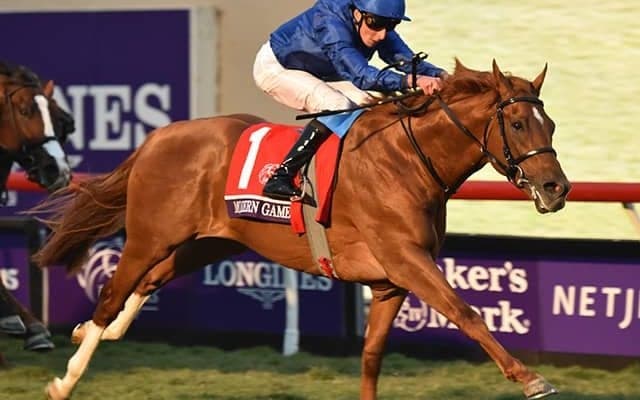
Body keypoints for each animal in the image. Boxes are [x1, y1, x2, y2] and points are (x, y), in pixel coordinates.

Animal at [34, 59, 570, 400]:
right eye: (518, 124)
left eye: (551, 125)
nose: (557, 188)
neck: (406, 160)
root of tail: (156, 138)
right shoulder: (405, 259)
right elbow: (467, 312)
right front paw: (530, 378)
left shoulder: (390, 281)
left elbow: (371, 357)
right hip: (150, 236)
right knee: (111, 294)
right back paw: (66, 378)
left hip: (206, 243)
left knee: (146, 282)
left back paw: (89, 333)